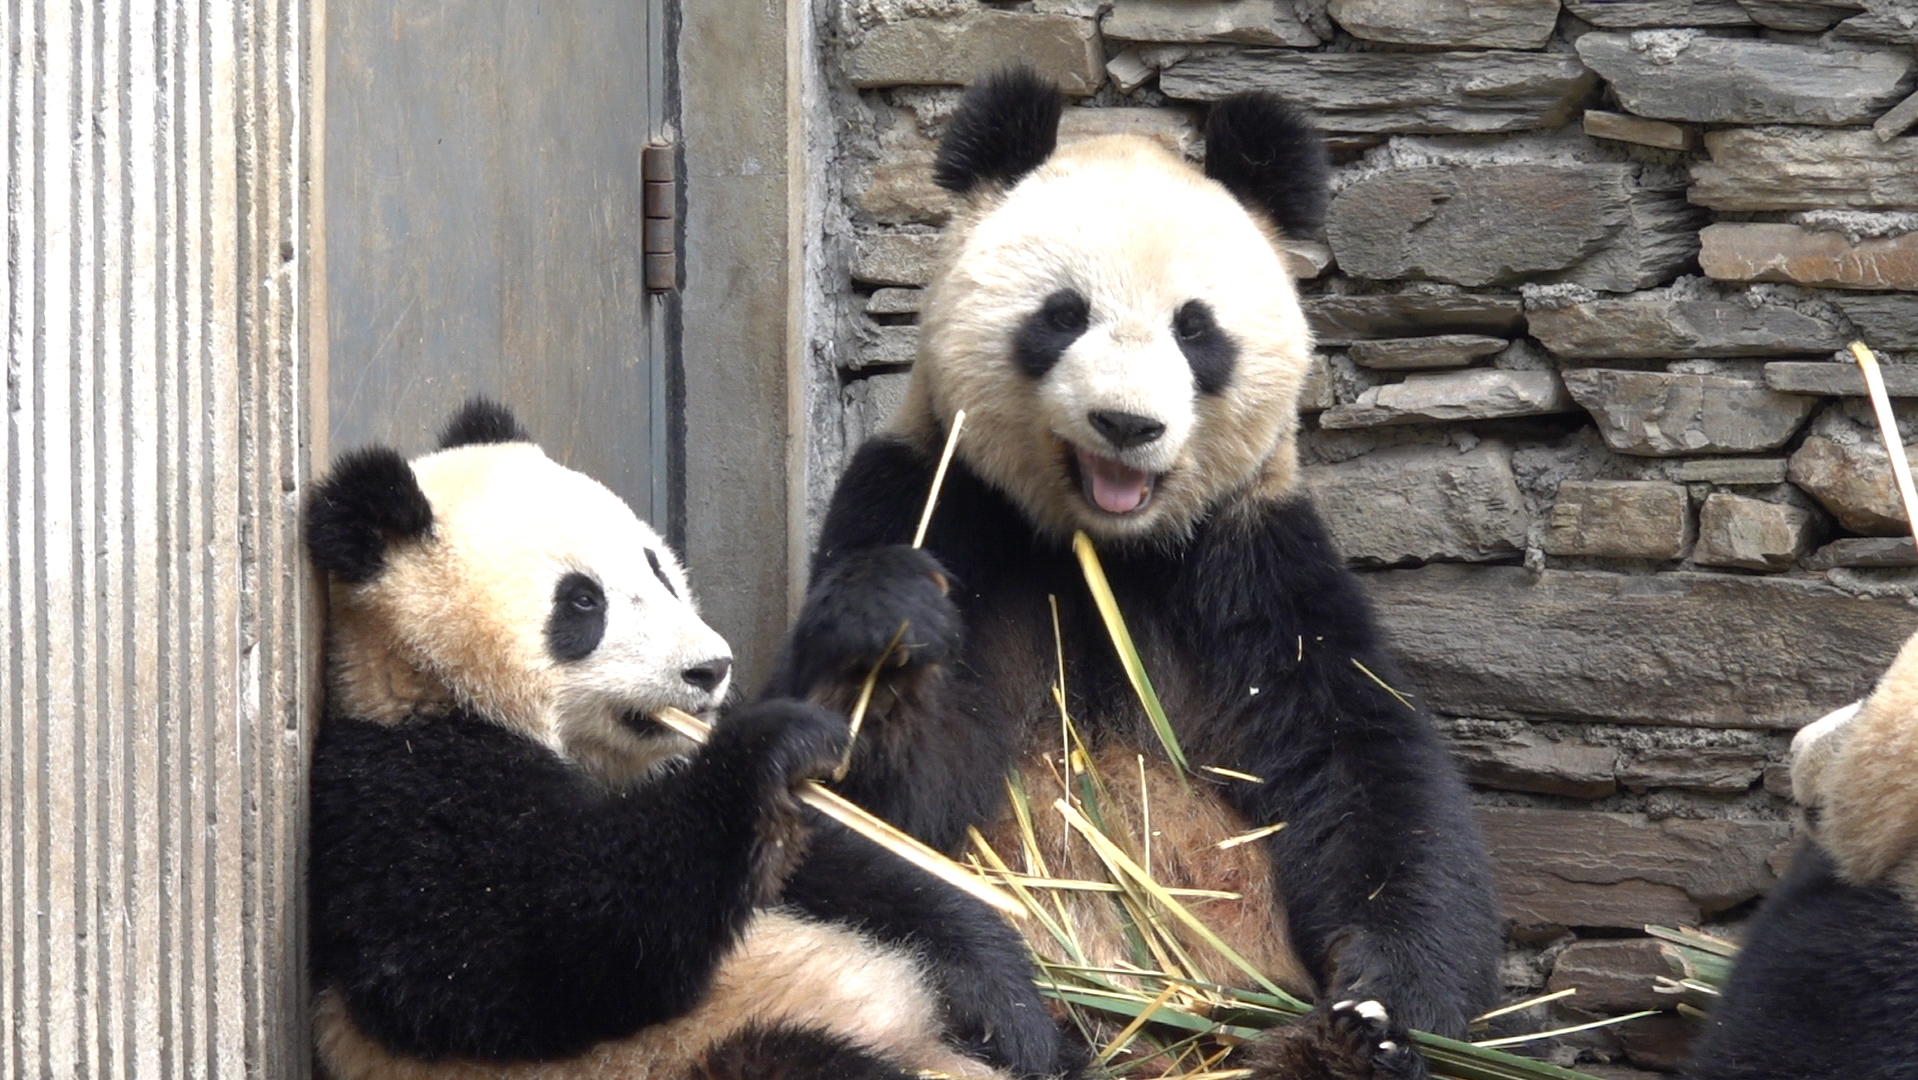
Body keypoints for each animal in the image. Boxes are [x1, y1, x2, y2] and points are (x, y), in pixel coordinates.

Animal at [304, 400, 1074, 1080]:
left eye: (657, 568)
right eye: (581, 602)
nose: (710, 668)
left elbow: (847, 873)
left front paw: (1008, 1002)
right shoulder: (402, 797)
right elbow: (542, 941)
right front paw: (772, 749)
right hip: (716, 1050)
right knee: (793, 1061)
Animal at [759, 71, 1496, 1074]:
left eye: (1197, 331)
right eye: (1062, 314)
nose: (1126, 424)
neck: (1100, 546)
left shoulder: (1252, 562)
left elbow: (1364, 763)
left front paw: (1385, 1008)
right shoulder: (931, 498)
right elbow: (867, 801)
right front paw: (892, 631)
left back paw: (1320, 1046)